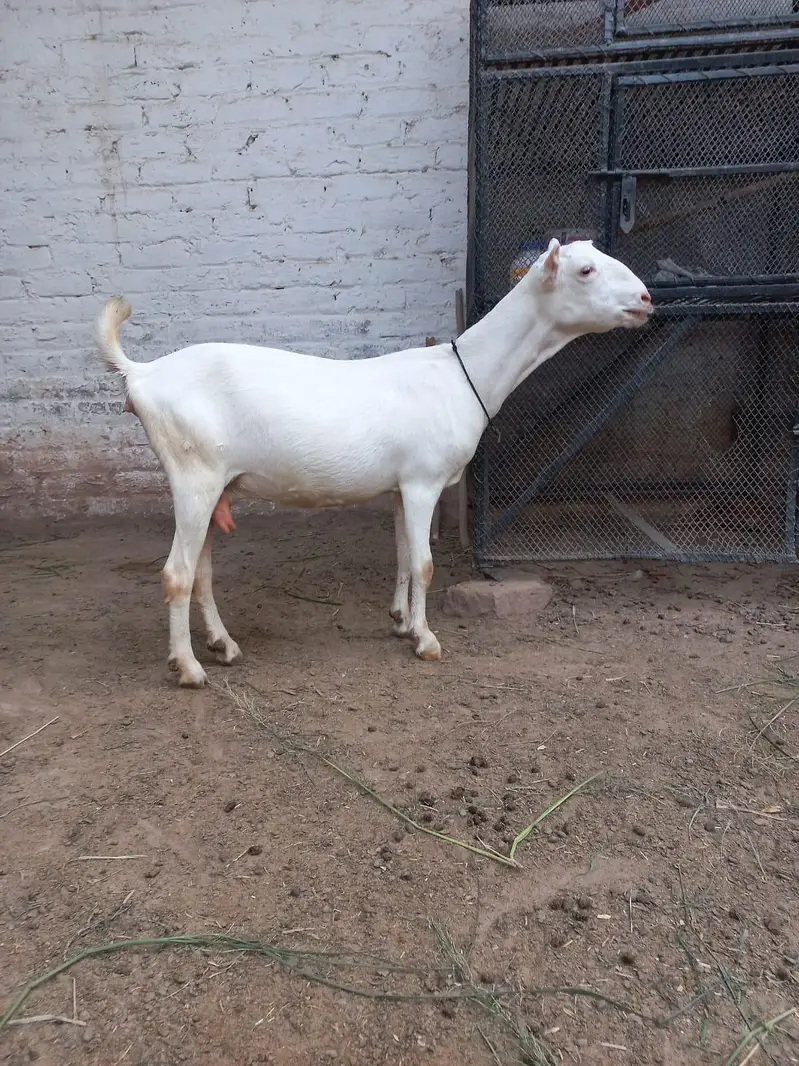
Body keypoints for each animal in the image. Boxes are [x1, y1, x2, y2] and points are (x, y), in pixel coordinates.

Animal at [96, 239, 652, 687]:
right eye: (586, 270)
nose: (646, 299)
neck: (462, 374)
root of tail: (142, 374)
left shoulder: (401, 487)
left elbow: (404, 555)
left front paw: (401, 621)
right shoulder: (425, 481)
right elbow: (426, 563)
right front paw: (426, 641)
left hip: (216, 485)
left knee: (202, 572)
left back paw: (223, 645)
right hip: (193, 475)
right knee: (177, 573)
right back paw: (189, 669)